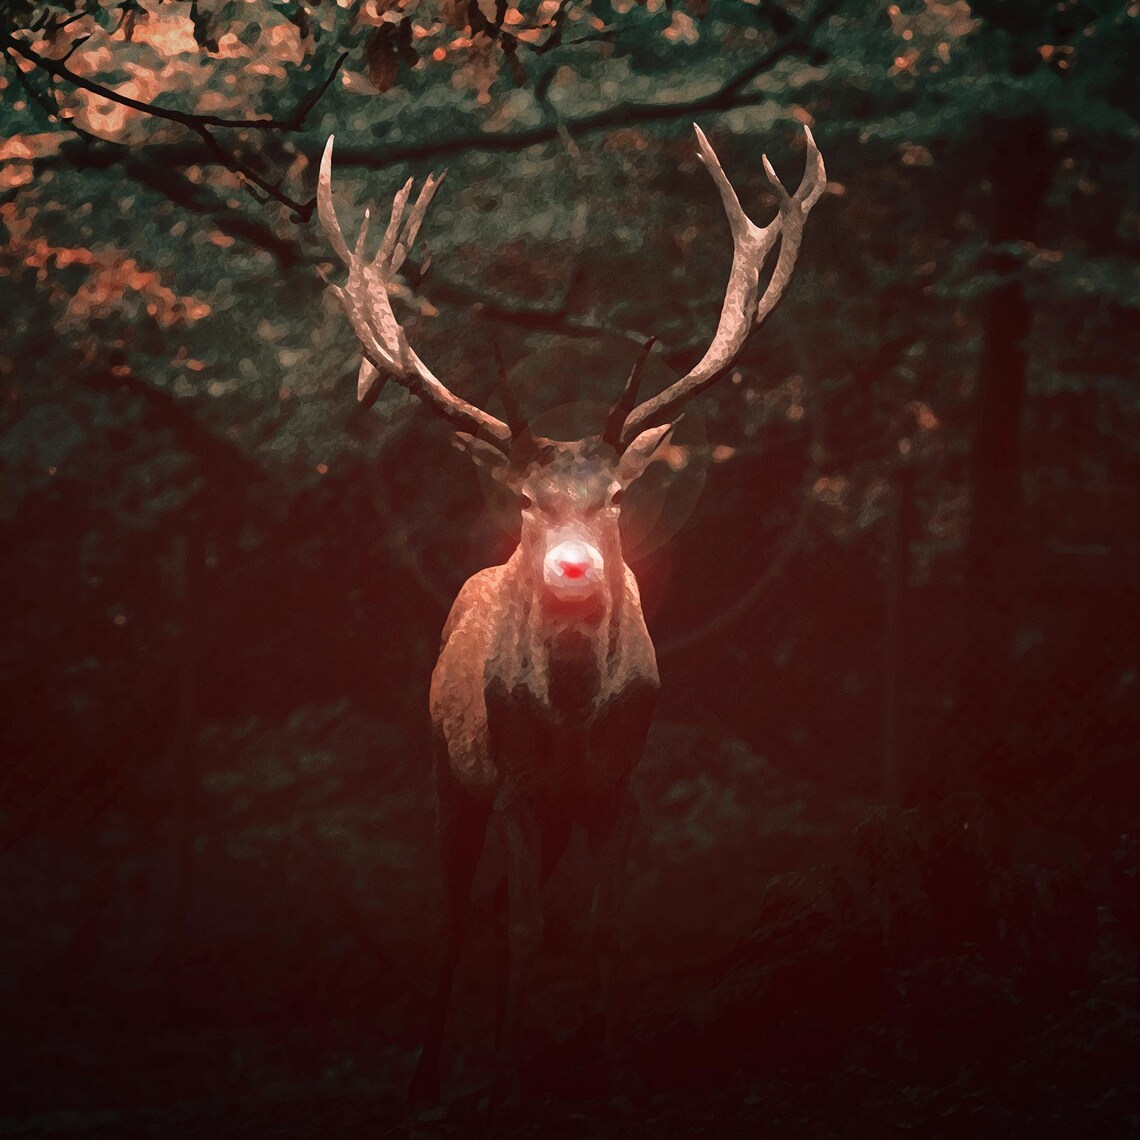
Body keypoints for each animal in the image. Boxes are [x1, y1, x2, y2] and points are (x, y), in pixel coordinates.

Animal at [315, 121, 825, 1102]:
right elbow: (518, 929)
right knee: (458, 910)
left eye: (616, 497)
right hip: (447, 769)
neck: (576, 713)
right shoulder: (514, 782)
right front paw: (507, 1077)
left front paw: (610, 1067)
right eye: (525, 500)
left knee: (505, 906)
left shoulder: (617, 788)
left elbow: (597, 927)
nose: (575, 566)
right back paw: (428, 1076)